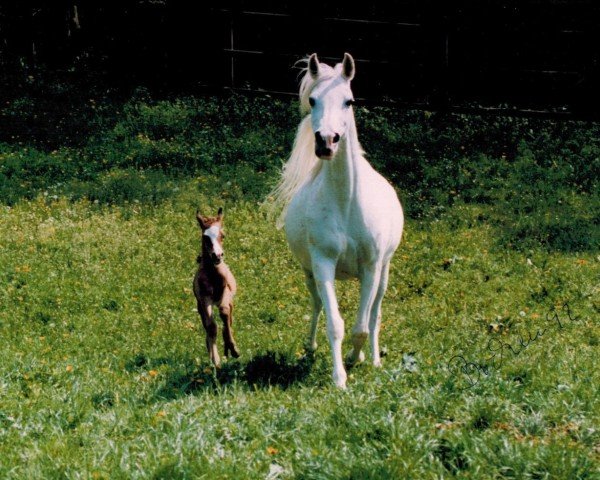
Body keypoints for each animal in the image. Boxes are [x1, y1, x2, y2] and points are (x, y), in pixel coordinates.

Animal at [192, 207, 239, 368]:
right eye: (205, 237)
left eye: (222, 235)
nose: (217, 256)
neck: (213, 275)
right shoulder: (204, 299)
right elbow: (211, 326)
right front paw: (215, 360)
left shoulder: (226, 294)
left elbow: (224, 313)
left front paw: (234, 349)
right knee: (207, 325)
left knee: (228, 318)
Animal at [270, 53, 404, 390]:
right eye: (313, 99)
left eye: (349, 101)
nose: (326, 142)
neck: (346, 203)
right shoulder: (322, 265)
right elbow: (335, 323)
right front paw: (339, 378)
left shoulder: (371, 267)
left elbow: (361, 326)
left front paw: (357, 359)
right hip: (309, 273)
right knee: (317, 304)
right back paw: (310, 347)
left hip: (383, 272)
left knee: (375, 313)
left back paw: (374, 358)